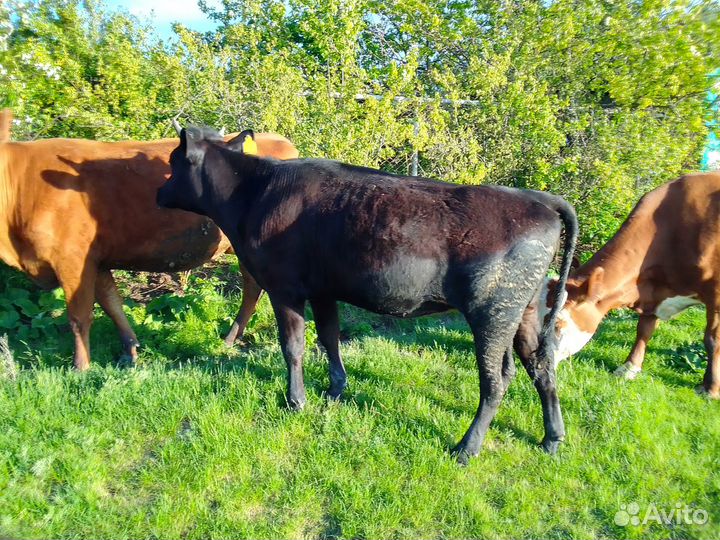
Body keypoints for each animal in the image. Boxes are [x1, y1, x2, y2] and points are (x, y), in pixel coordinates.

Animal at [0, 110, 298, 370]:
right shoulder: (97, 261)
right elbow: (112, 304)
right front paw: (130, 351)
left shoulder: (72, 259)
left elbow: (79, 315)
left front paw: (80, 367)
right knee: (253, 287)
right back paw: (232, 337)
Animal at [156, 125, 578, 462]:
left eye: (173, 160)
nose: (159, 194)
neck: (255, 194)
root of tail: (538, 198)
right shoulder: (323, 289)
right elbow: (329, 338)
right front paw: (335, 390)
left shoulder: (284, 286)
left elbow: (293, 346)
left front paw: (296, 401)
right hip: (525, 309)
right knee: (541, 365)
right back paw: (552, 439)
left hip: (493, 312)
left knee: (497, 380)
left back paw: (467, 447)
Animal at [550, 172, 720, 399]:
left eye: (557, 324)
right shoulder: (654, 288)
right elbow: (644, 329)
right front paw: (629, 367)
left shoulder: (716, 293)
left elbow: (712, 339)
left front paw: (710, 389)